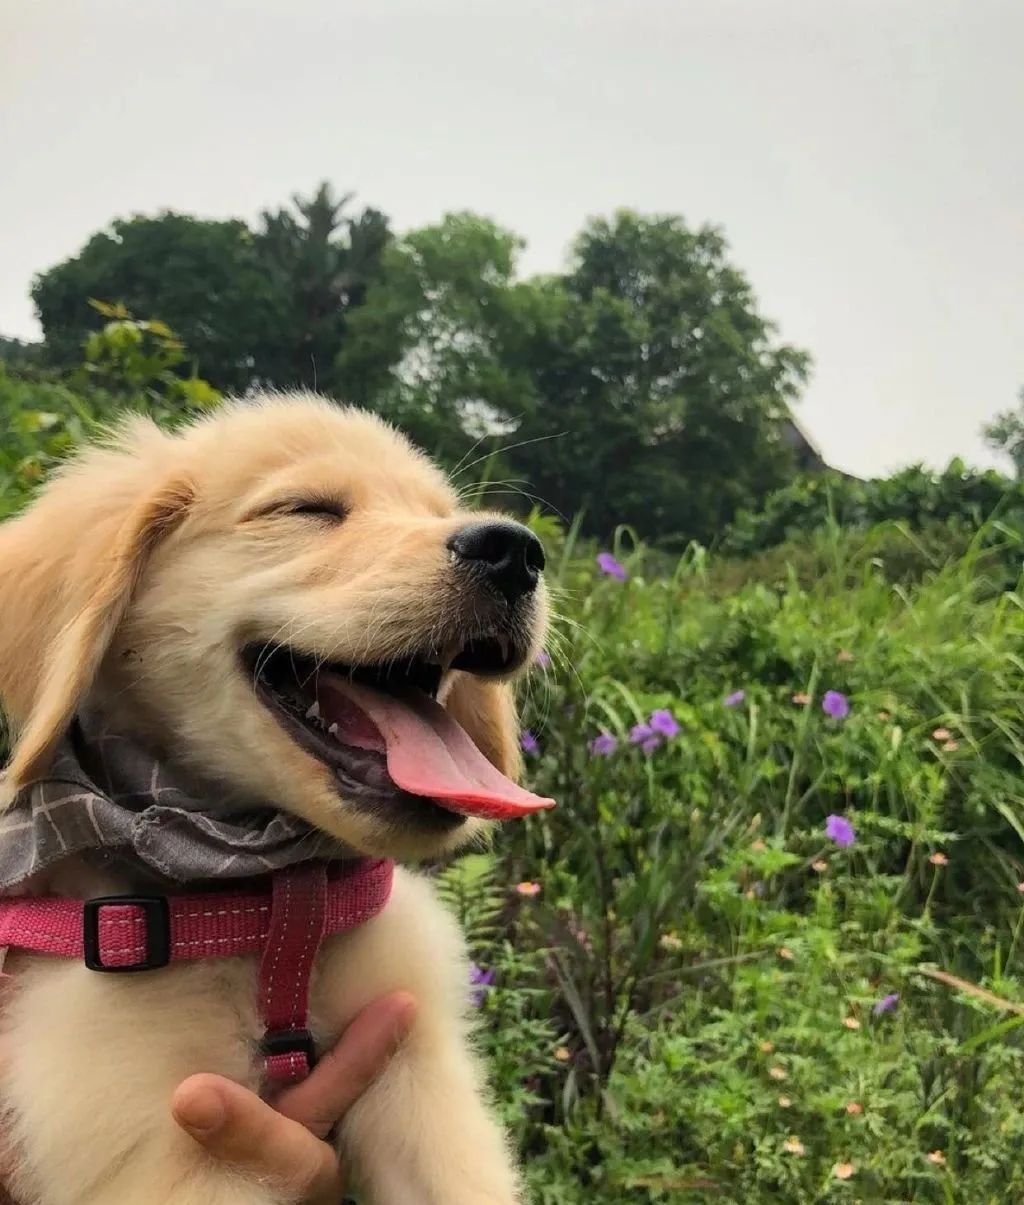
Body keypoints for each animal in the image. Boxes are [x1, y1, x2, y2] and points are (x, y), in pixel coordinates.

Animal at [0, 397, 551, 1205]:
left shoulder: (418, 1068)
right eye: (306, 509)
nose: (516, 550)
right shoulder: (166, 1136)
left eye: (437, 512)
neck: (270, 907)